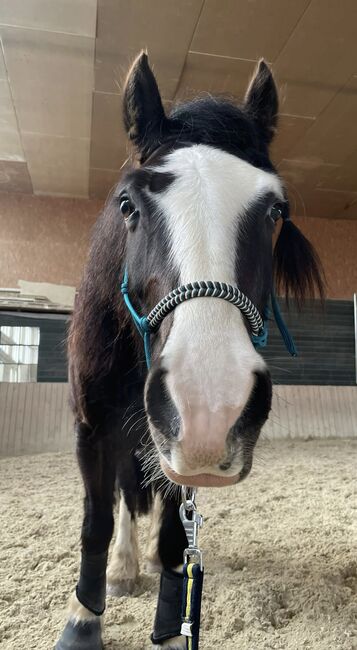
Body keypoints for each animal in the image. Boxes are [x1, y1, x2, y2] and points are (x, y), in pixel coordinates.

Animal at [55, 52, 322, 648]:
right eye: (128, 205)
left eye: (275, 211)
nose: (209, 404)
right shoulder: (91, 426)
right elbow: (96, 520)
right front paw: (84, 618)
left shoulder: (178, 451)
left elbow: (178, 532)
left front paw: (174, 625)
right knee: (125, 496)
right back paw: (124, 567)